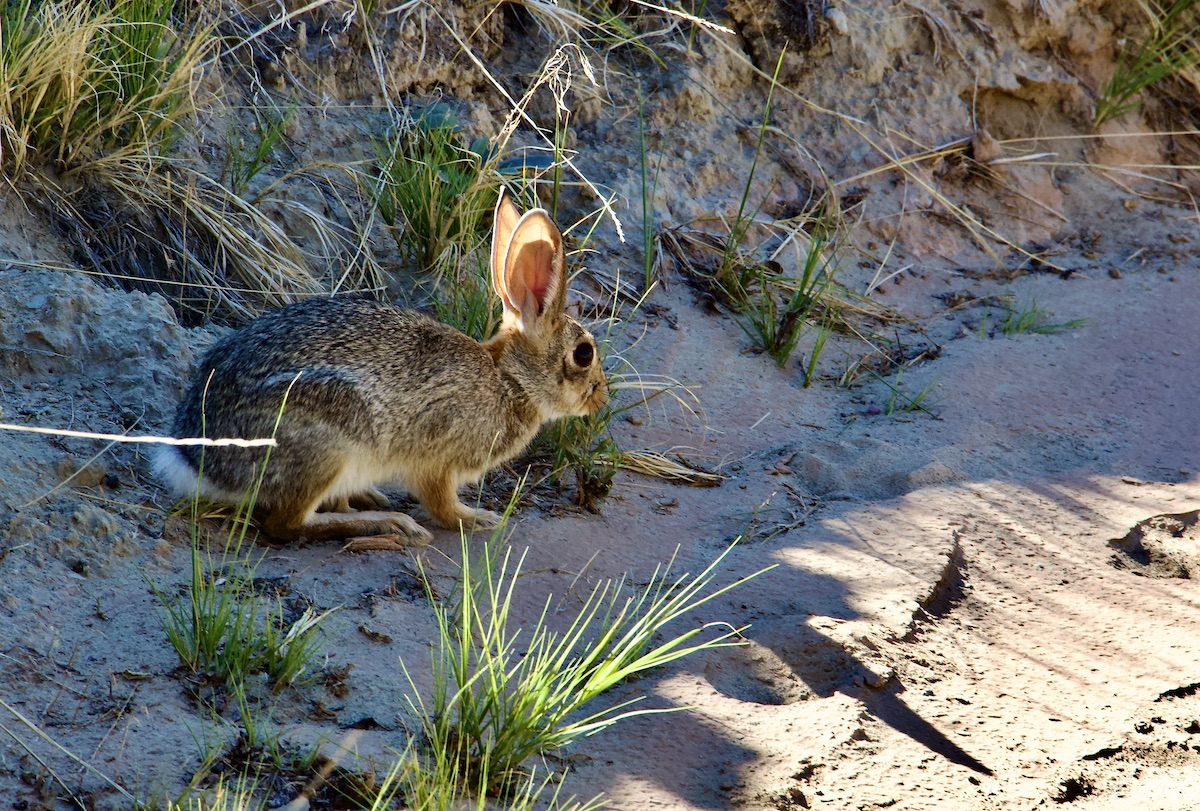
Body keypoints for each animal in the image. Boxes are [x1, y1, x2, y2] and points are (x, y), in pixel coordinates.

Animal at [154, 189, 609, 544]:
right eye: (583, 354)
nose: (600, 398)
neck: (510, 380)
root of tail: (196, 462)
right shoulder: (438, 459)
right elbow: (441, 502)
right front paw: (477, 518)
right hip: (325, 441)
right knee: (285, 525)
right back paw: (389, 523)